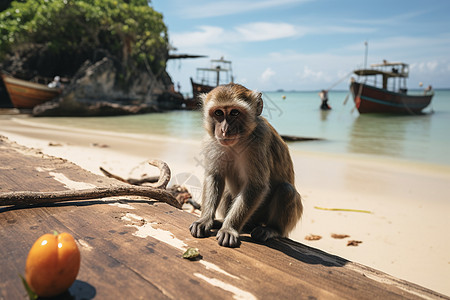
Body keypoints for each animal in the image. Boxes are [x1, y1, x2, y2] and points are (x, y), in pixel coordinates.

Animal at [189, 83, 302, 247]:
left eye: (235, 112)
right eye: (218, 113)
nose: (224, 130)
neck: (238, 142)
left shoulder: (259, 141)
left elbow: (256, 185)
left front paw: (229, 229)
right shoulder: (212, 142)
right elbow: (214, 177)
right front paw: (205, 220)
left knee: (286, 190)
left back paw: (272, 229)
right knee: (227, 191)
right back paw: (224, 221)